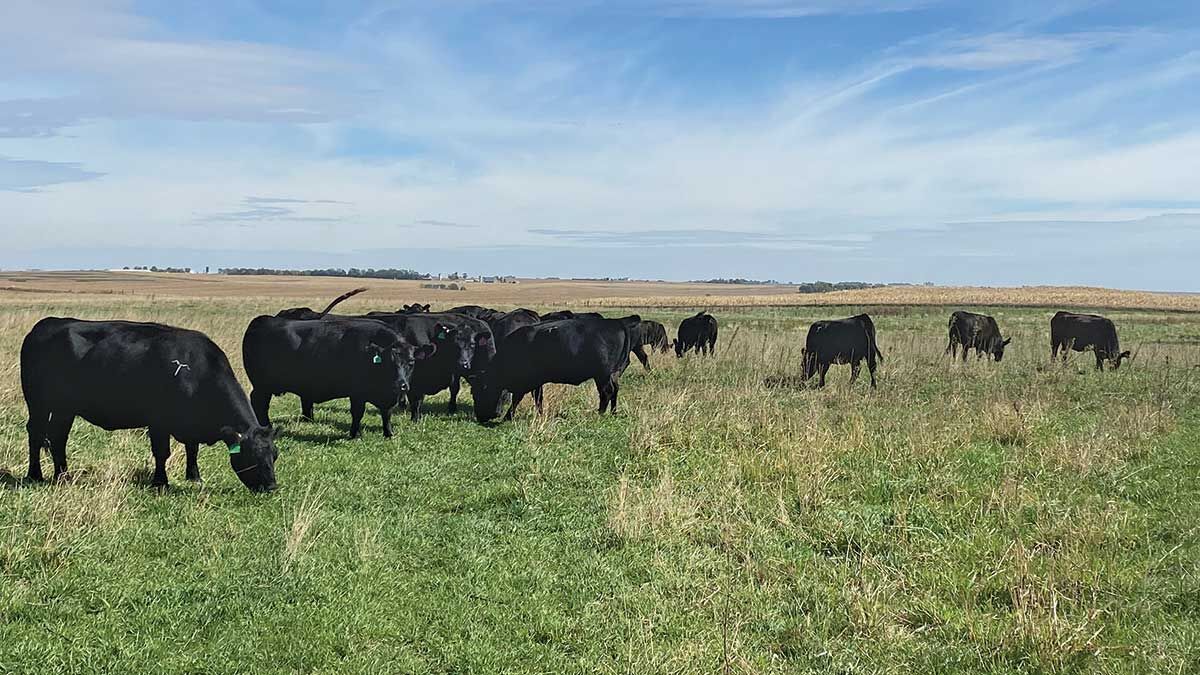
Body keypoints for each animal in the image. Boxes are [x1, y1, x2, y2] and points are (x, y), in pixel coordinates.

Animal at [20, 318, 278, 492]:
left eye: (274, 455)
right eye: (252, 456)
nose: (272, 487)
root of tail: (45, 324)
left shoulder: (190, 422)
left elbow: (192, 449)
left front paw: (194, 476)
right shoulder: (158, 421)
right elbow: (162, 453)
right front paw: (160, 482)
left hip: (64, 409)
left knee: (57, 437)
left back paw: (63, 476)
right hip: (38, 404)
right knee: (36, 434)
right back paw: (35, 475)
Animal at [242, 316, 433, 438]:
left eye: (411, 362)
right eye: (388, 362)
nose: (401, 385)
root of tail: (262, 320)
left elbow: (387, 414)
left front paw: (389, 433)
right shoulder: (357, 393)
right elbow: (358, 413)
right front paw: (355, 434)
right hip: (262, 386)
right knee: (260, 404)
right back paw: (267, 428)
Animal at [472, 316, 640, 423]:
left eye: (478, 392)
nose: (480, 417)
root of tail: (617, 322)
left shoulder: (526, 381)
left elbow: (518, 398)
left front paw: (508, 416)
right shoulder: (537, 381)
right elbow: (538, 397)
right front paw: (540, 414)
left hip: (602, 375)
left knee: (607, 391)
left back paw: (600, 413)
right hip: (611, 374)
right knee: (615, 390)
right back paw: (613, 412)